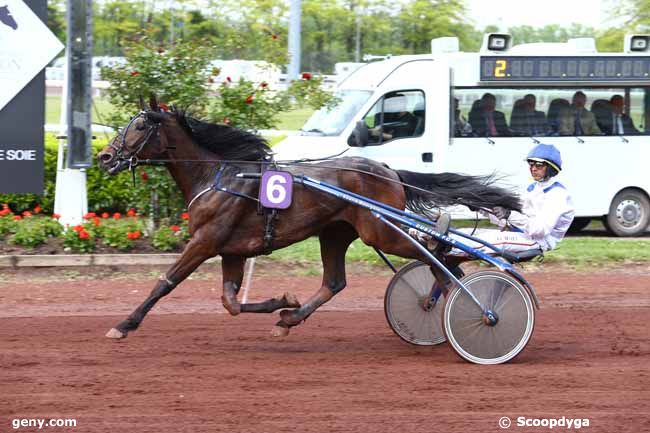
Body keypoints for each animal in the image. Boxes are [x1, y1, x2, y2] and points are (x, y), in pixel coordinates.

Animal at [96, 104, 520, 338]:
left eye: (138, 126)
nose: (104, 157)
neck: (218, 176)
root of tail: (388, 170)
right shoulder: (231, 250)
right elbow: (230, 302)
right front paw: (283, 302)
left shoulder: (205, 241)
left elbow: (165, 282)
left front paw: (124, 325)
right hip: (335, 233)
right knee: (335, 282)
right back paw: (290, 319)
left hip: (381, 231)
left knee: (438, 254)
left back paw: (464, 302)